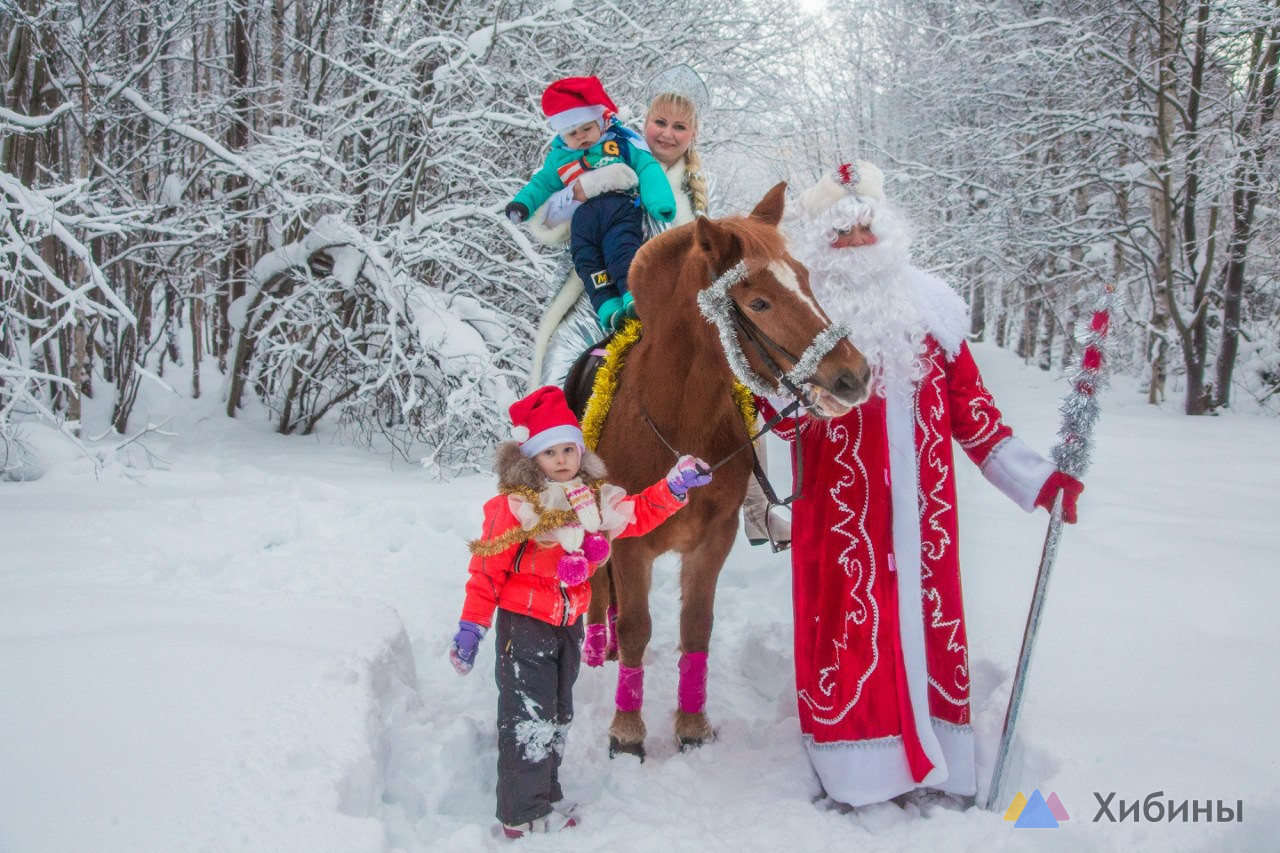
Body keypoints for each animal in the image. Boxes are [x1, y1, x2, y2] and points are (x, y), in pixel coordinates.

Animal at [583, 183, 865, 753]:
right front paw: (627, 731)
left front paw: (692, 727)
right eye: (758, 301)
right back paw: (597, 652)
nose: (854, 376)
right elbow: (636, 629)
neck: (677, 428)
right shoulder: (628, 543)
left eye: (805, 278)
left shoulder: (714, 540)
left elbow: (697, 625)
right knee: (601, 595)